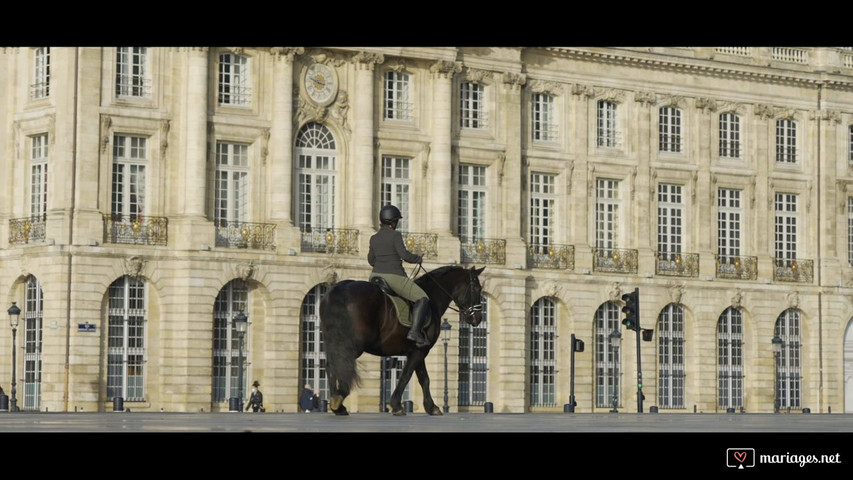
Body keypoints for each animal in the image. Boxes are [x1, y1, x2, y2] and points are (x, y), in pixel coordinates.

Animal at [318, 264, 482, 414]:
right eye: (477, 289)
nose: (478, 318)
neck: (432, 299)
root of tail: (339, 288)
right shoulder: (420, 351)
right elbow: (407, 375)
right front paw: (397, 405)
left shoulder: (418, 350)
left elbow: (424, 379)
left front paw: (430, 407)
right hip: (353, 345)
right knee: (343, 364)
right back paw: (339, 397)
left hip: (333, 341)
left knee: (332, 366)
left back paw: (337, 404)